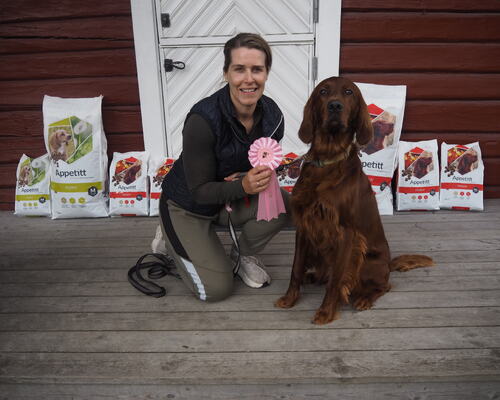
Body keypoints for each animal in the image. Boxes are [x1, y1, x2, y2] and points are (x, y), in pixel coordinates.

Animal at [274, 78, 434, 324]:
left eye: (349, 92)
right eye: (323, 91)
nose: (335, 106)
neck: (328, 159)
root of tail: (388, 264)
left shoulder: (345, 233)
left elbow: (337, 280)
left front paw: (326, 312)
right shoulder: (304, 224)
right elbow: (296, 268)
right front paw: (289, 299)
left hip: (368, 261)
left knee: (383, 286)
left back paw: (364, 299)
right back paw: (314, 277)